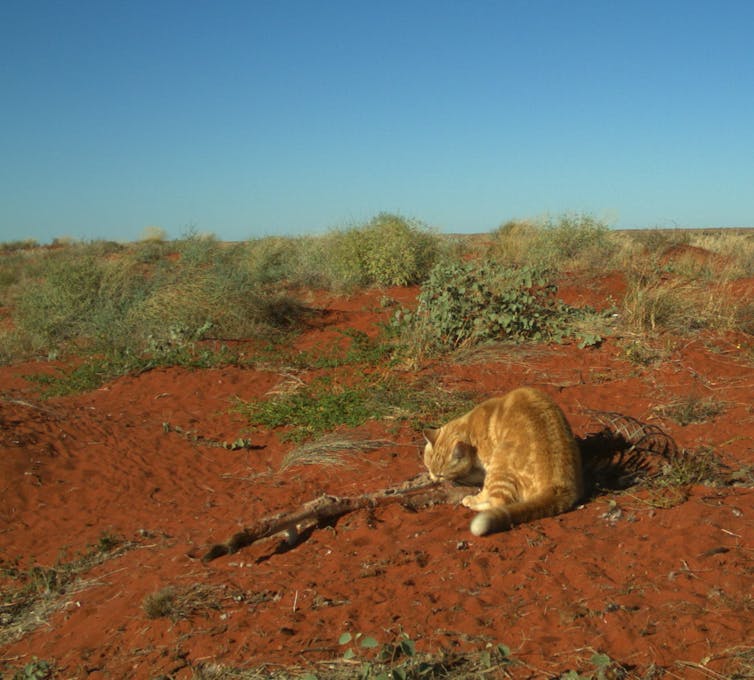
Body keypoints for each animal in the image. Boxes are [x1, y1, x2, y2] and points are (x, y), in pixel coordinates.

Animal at [424, 388, 580, 536]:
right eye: (429, 468)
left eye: (441, 475)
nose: (433, 480)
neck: (470, 427)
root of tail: (559, 487)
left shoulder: (487, 466)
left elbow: (483, 488)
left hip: (499, 462)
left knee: (498, 503)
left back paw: (472, 503)